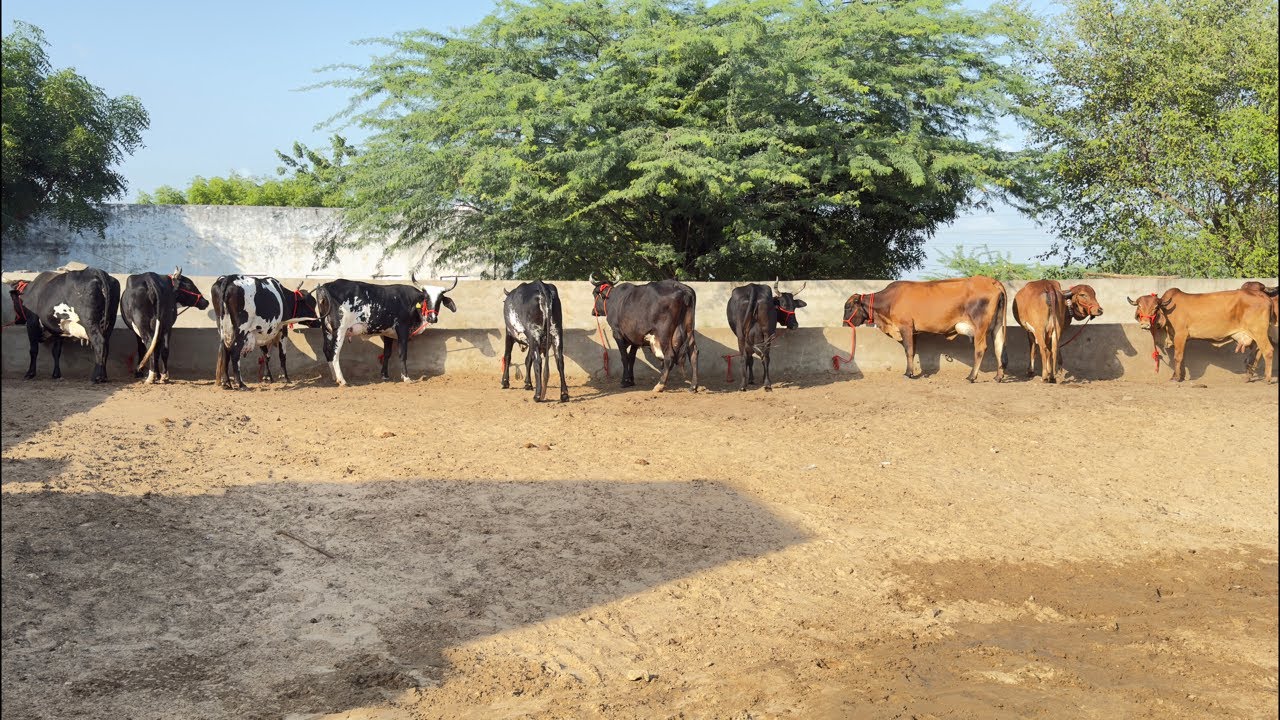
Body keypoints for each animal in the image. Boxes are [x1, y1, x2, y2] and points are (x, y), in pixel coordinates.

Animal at [313, 275, 458, 387]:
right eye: (426, 298)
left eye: (440, 300)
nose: (432, 318)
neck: (410, 302)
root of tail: (326, 286)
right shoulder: (402, 330)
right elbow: (402, 354)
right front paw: (406, 377)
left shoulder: (387, 333)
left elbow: (387, 354)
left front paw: (385, 375)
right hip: (340, 330)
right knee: (334, 353)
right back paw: (342, 380)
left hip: (326, 329)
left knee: (327, 350)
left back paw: (334, 378)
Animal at [841, 276, 1007, 382]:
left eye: (848, 307)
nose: (844, 325)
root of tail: (991, 281)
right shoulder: (913, 331)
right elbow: (913, 351)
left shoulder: (906, 327)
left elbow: (908, 351)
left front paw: (908, 373)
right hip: (998, 325)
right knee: (999, 347)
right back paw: (998, 376)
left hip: (980, 326)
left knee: (980, 349)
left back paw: (972, 376)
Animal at [1127, 288, 1274, 383]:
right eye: (1139, 306)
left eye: (1155, 308)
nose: (1145, 325)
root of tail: (1265, 297)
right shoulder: (1180, 339)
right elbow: (1182, 358)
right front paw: (1179, 376)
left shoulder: (1180, 335)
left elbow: (1177, 357)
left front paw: (1176, 378)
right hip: (1255, 335)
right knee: (1257, 353)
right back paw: (1248, 377)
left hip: (1259, 331)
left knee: (1268, 351)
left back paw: (1267, 378)